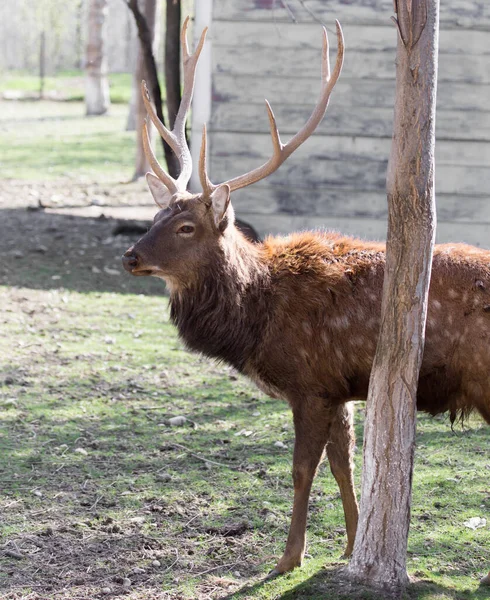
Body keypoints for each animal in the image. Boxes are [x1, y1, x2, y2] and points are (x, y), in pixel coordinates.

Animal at [123, 15, 490, 576]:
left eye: (186, 227)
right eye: (156, 215)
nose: (130, 256)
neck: (257, 318)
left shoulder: (311, 383)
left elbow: (302, 470)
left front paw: (288, 558)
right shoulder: (341, 387)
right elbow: (345, 466)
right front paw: (351, 546)